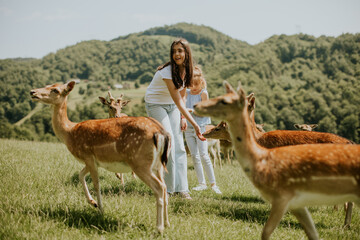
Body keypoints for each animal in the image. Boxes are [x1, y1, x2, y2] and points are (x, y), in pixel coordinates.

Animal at [30, 81, 171, 232]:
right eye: (47, 85)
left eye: (55, 90)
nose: (33, 92)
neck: (70, 133)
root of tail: (161, 133)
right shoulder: (91, 161)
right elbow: (80, 175)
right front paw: (93, 203)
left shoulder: (88, 155)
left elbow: (96, 184)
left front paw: (100, 209)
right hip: (158, 165)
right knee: (165, 187)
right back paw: (167, 223)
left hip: (140, 162)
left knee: (159, 187)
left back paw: (159, 228)